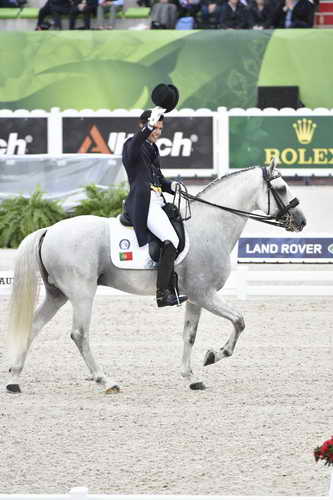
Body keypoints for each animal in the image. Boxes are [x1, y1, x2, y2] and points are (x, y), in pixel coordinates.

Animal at [5, 162, 306, 392]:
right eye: (281, 188)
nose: (301, 221)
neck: (211, 225)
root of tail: (48, 230)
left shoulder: (194, 298)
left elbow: (189, 335)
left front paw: (191, 377)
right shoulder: (205, 294)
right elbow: (239, 321)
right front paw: (213, 356)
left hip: (57, 294)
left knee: (33, 326)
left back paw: (14, 379)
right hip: (81, 293)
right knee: (79, 334)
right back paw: (106, 380)